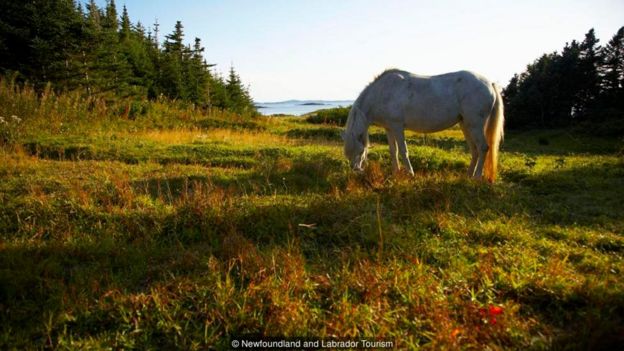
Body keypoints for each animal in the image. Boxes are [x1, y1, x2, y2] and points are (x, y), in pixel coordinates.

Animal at [344, 70, 504, 183]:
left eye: (360, 151)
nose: (356, 171)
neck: (383, 92)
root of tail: (489, 83)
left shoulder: (397, 127)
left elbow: (403, 151)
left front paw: (410, 174)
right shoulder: (389, 128)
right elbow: (393, 151)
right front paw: (396, 173)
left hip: (475, 125)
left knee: (483, 148)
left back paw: (476, 177)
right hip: (466, 125)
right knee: (475, 149)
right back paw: (469, 175)